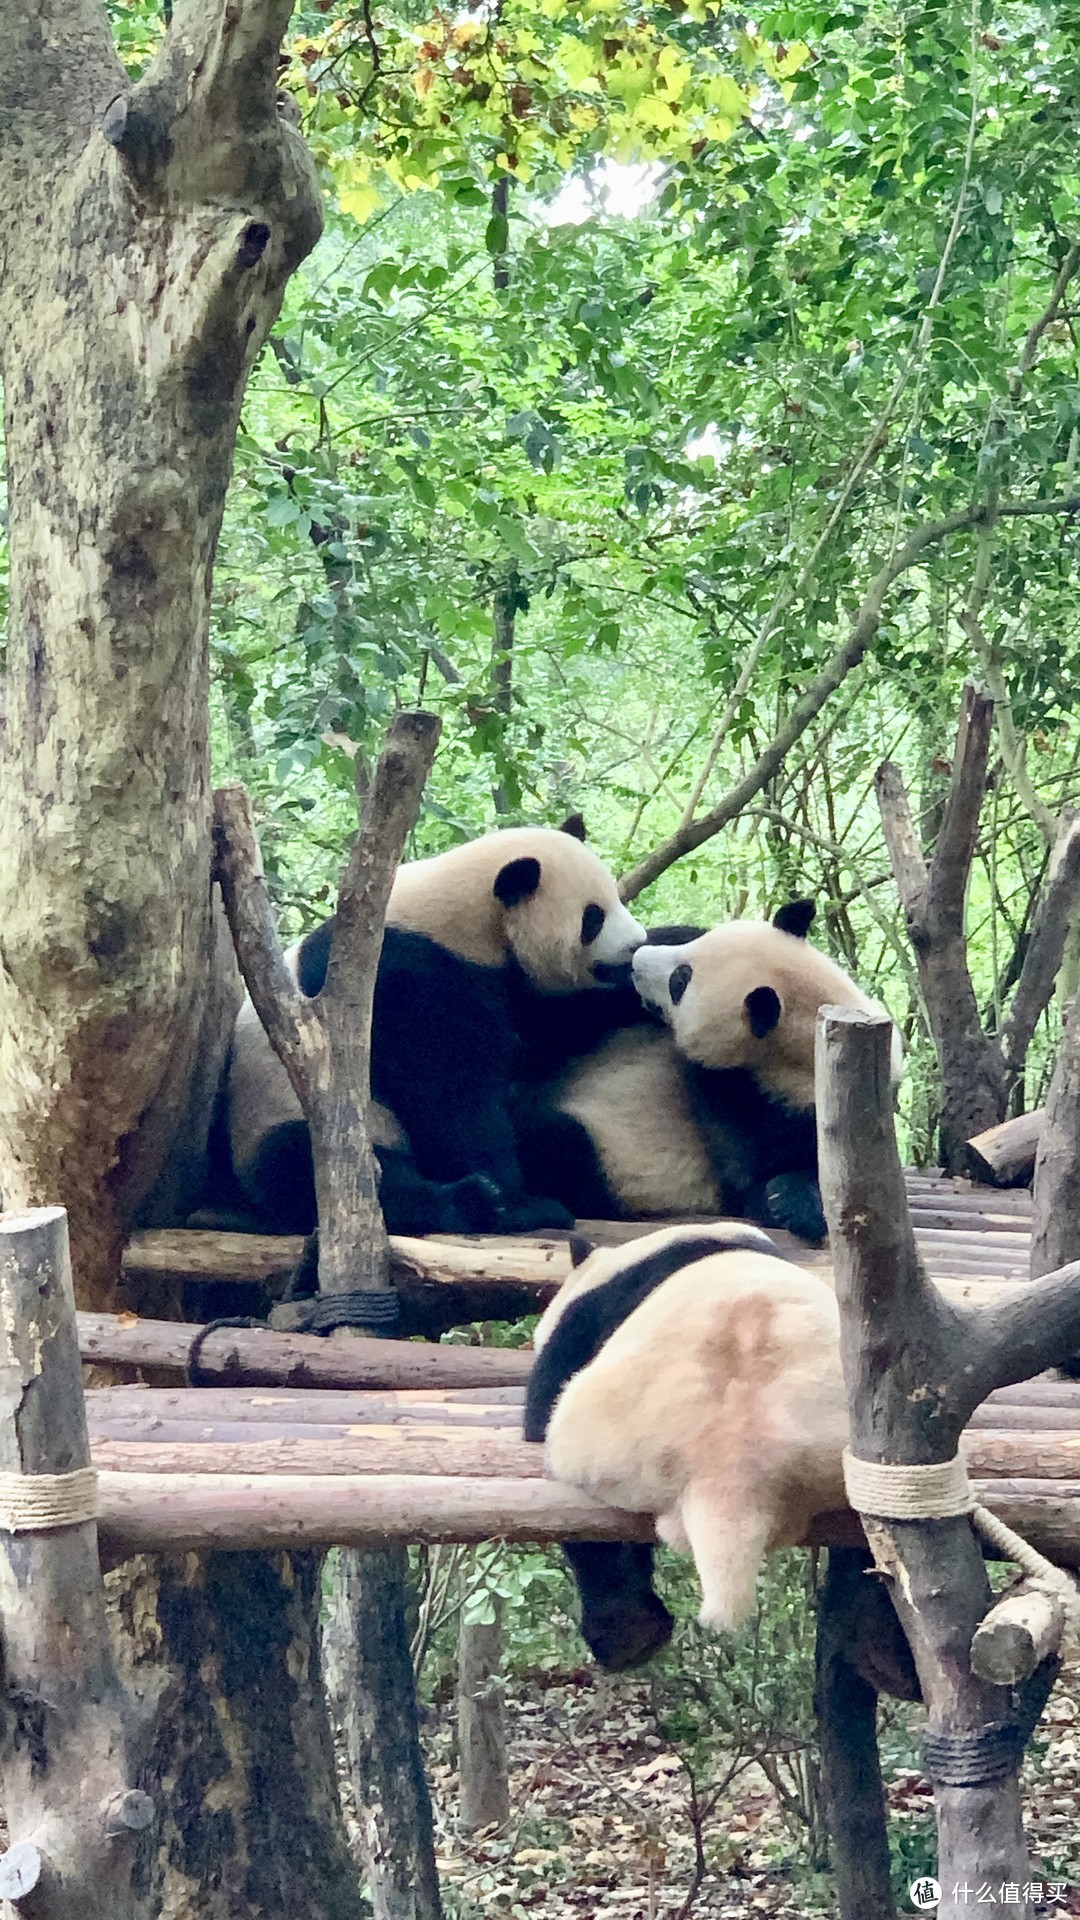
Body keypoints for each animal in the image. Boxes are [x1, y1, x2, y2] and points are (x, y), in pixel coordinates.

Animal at [222, 817, 641, 1236]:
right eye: (593, 917)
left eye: (616, 899)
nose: (635, 945)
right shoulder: (405, 975)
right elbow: (450, 1093)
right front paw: (517, 1198)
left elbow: (550, 1031)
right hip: (288, 1118)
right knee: (323, 1169)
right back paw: (480, 1204)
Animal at [511, 902, 891, 1244]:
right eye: (695, 945)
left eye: (680, 982)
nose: (636, 962)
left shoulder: (789, 1112)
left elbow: (754, 1178)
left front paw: (789, 1202)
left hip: (609, 1162)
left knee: (558, 1144)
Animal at [522, 1228, 849, 1666]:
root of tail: (731, 1471)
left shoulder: (591, 1318)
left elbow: (542, 1402)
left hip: (605, 1437)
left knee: (600, 1545)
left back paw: (628, 1636)